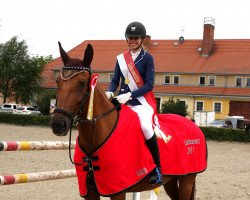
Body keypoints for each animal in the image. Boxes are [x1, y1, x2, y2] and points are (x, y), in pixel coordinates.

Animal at [51, 41, 207, 198]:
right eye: (57, 81)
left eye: (82, 83)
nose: (58, 124)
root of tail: (193, 124)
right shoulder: (89, 192)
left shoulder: (118, 191)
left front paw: (123, 97)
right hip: (171, 180)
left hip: (187, 179)